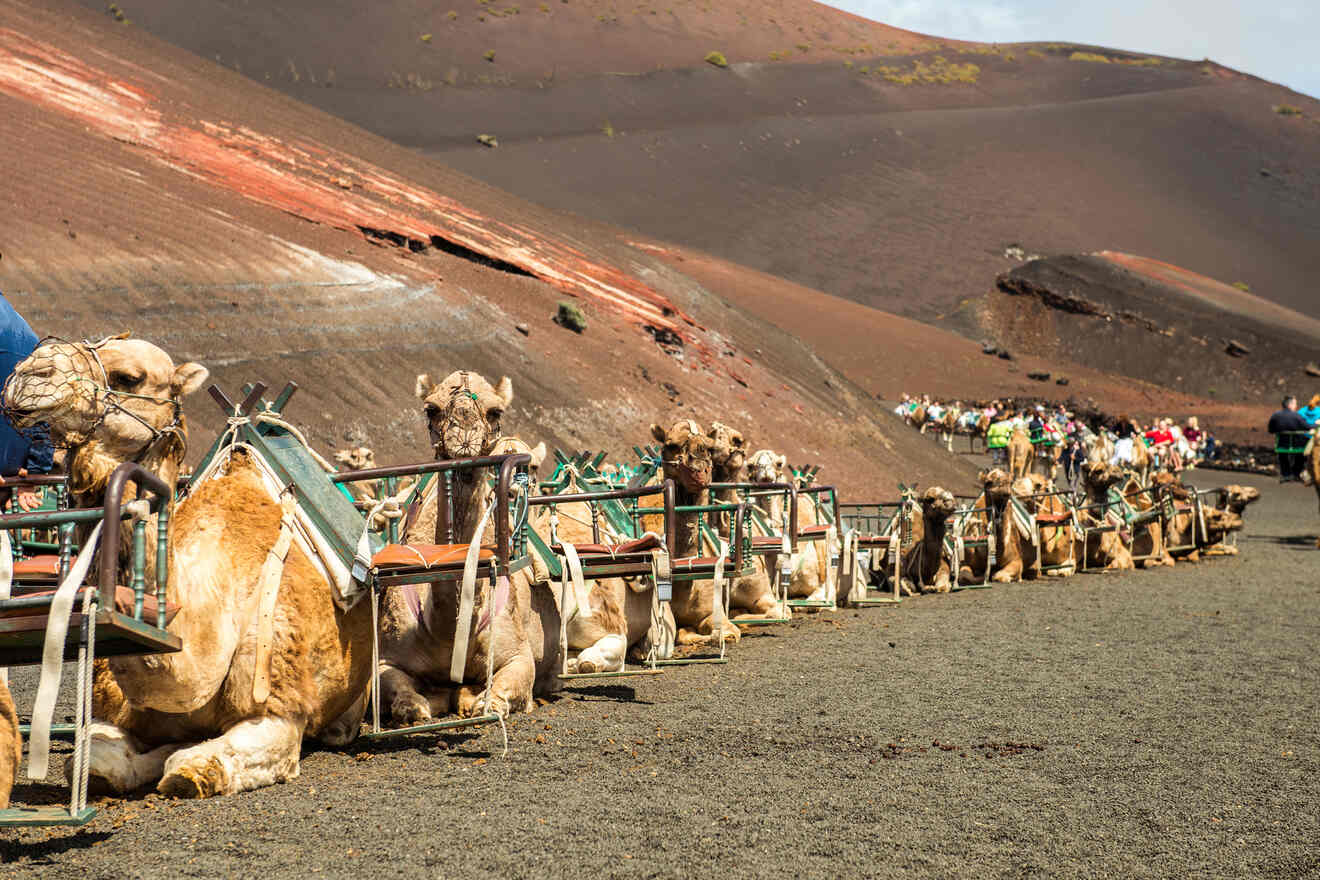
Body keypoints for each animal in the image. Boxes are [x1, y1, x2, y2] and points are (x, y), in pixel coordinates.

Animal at [5, 335, 377, 796]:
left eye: (129, 377)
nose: (29, 372)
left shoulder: (280, 711)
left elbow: (193, 765)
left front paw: (182, 760)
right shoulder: (116, 710)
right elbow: (91, 764)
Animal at [374, 372, 559, 728]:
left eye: (496, 411)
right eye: (431, 408)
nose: (464, 432)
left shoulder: (518, 654)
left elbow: (506, 686)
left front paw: (483, 702)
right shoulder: (387, 658)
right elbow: (400, 694)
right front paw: (419, 707)